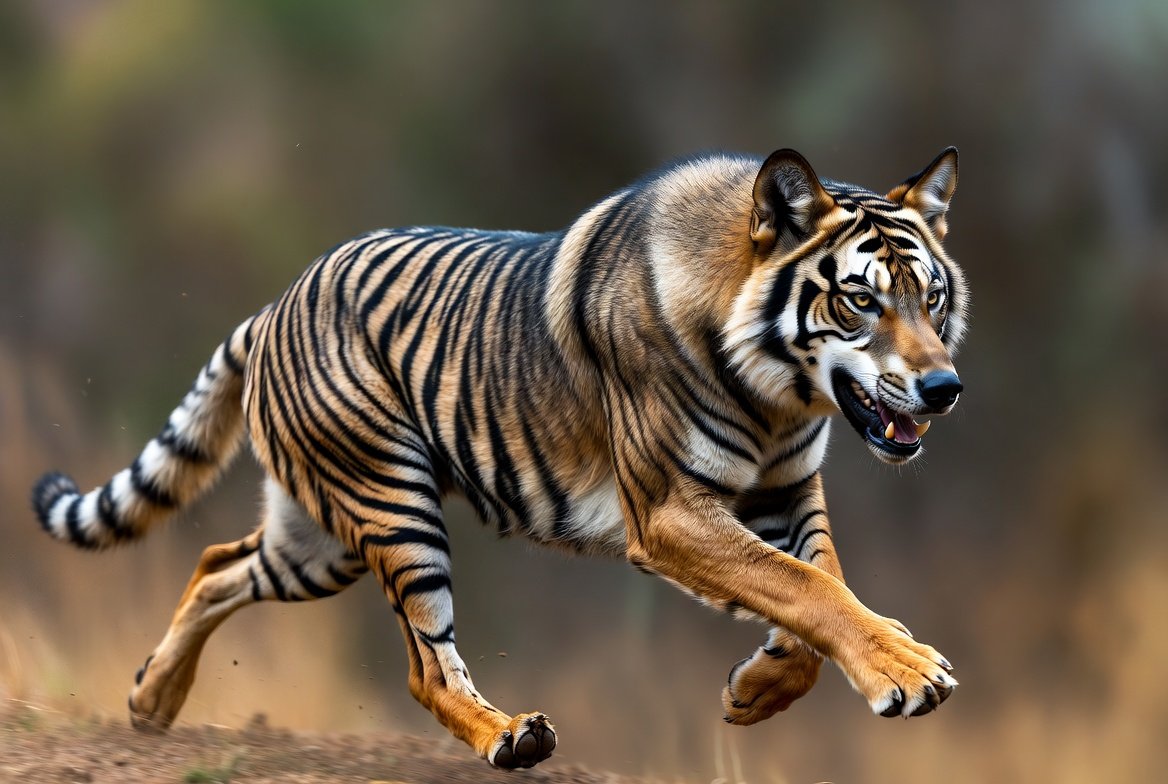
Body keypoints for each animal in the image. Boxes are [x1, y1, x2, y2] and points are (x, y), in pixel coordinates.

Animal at [32, 146, 967, 770]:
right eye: (861, 301)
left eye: (932, 296)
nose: (944, 386)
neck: (780, 396)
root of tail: (273, 305)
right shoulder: (671, 510)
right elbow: (804, 587)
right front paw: (909, 669)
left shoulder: (787, 491)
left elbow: (820, 585)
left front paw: (760, 687)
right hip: (390, 504)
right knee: (425, 668)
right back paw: (512, 736)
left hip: (318, 542)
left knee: (215, 564)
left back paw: (151, 700)